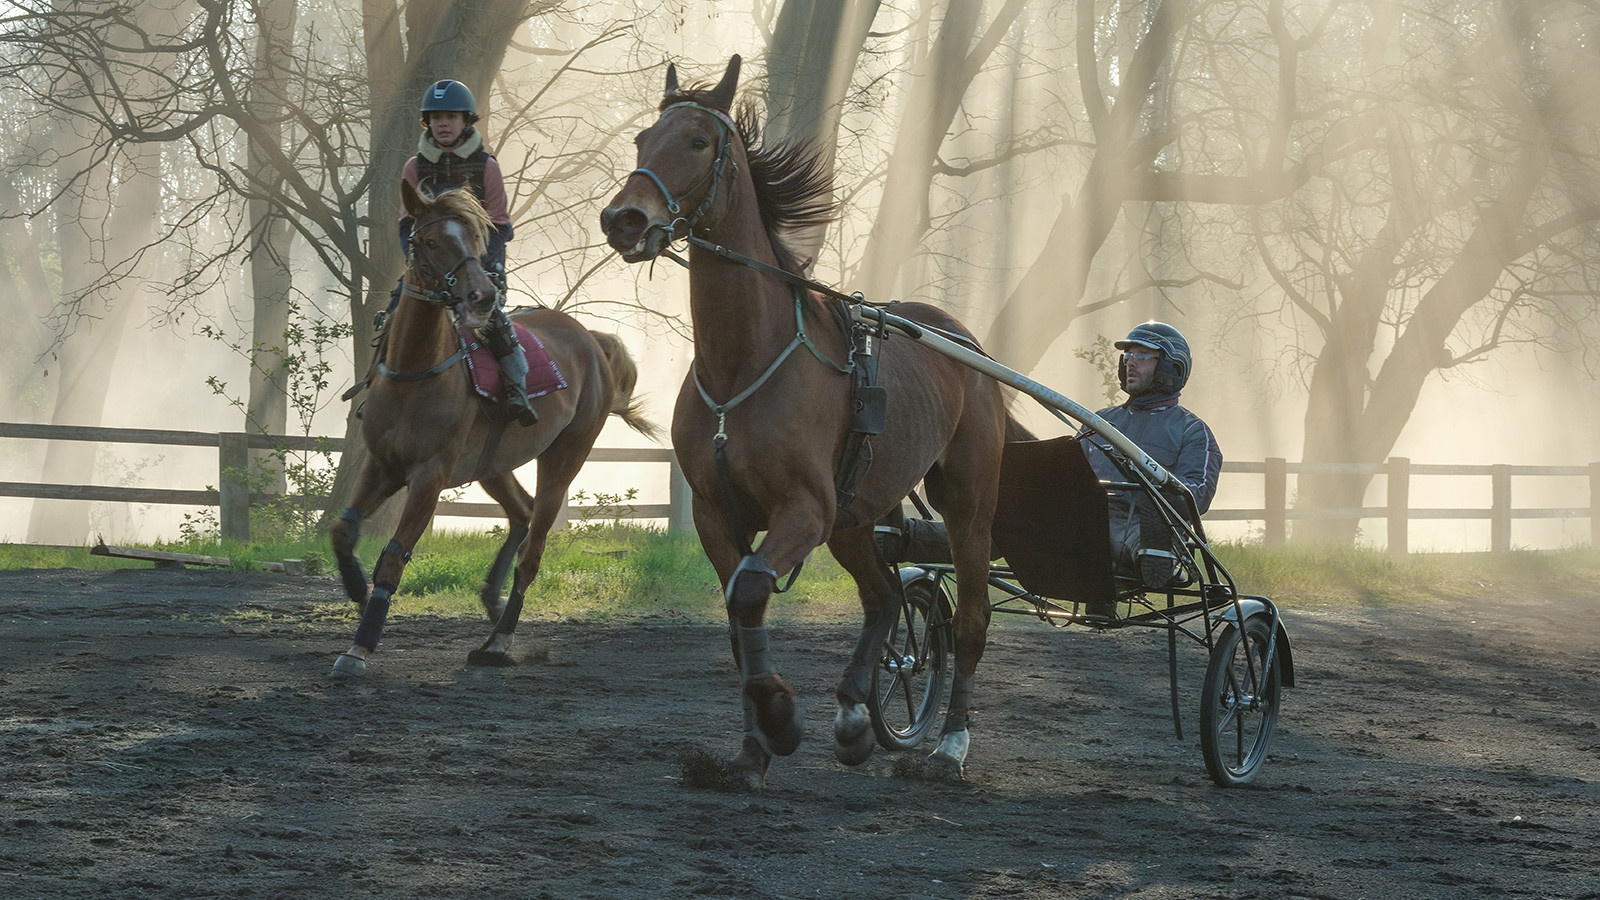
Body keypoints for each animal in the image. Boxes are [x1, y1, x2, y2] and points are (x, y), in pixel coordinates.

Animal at [334, 180, 659, 672]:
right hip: (493, 465)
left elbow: (393, 557)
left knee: (533, 548)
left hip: (565, 456)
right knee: (521, 513)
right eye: (431, 242)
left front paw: (359, 647)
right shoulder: (382, 465)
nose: (482, 296)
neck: (416, 371)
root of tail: (592, 340)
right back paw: (492, 600)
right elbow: (343, 529)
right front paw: (356, 591)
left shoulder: (429, 475)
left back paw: (498, 641)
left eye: (474, 237)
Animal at [601, 57, 1011, 784]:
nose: (623, 218)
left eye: (697, 142)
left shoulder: (805, 508)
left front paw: (781, 719)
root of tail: (963, 341)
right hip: (856, 512)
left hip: (964, 501)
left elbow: (750, 592)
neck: (743, 365)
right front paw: (751, 750)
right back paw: (854, 716)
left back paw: (949, 746)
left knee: (970, 618)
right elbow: (740, 615)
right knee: (882, 596)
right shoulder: (717, 511)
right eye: (642, 139)